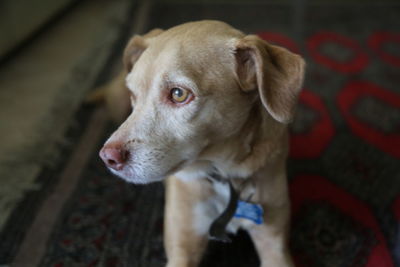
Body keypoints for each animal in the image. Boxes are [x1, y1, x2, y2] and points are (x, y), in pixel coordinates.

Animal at [98, 19, 304, 266]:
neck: (224, 172)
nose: (108, 158)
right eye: (133, 95)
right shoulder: (183, 245)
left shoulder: (274, 243)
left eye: (178, 94)